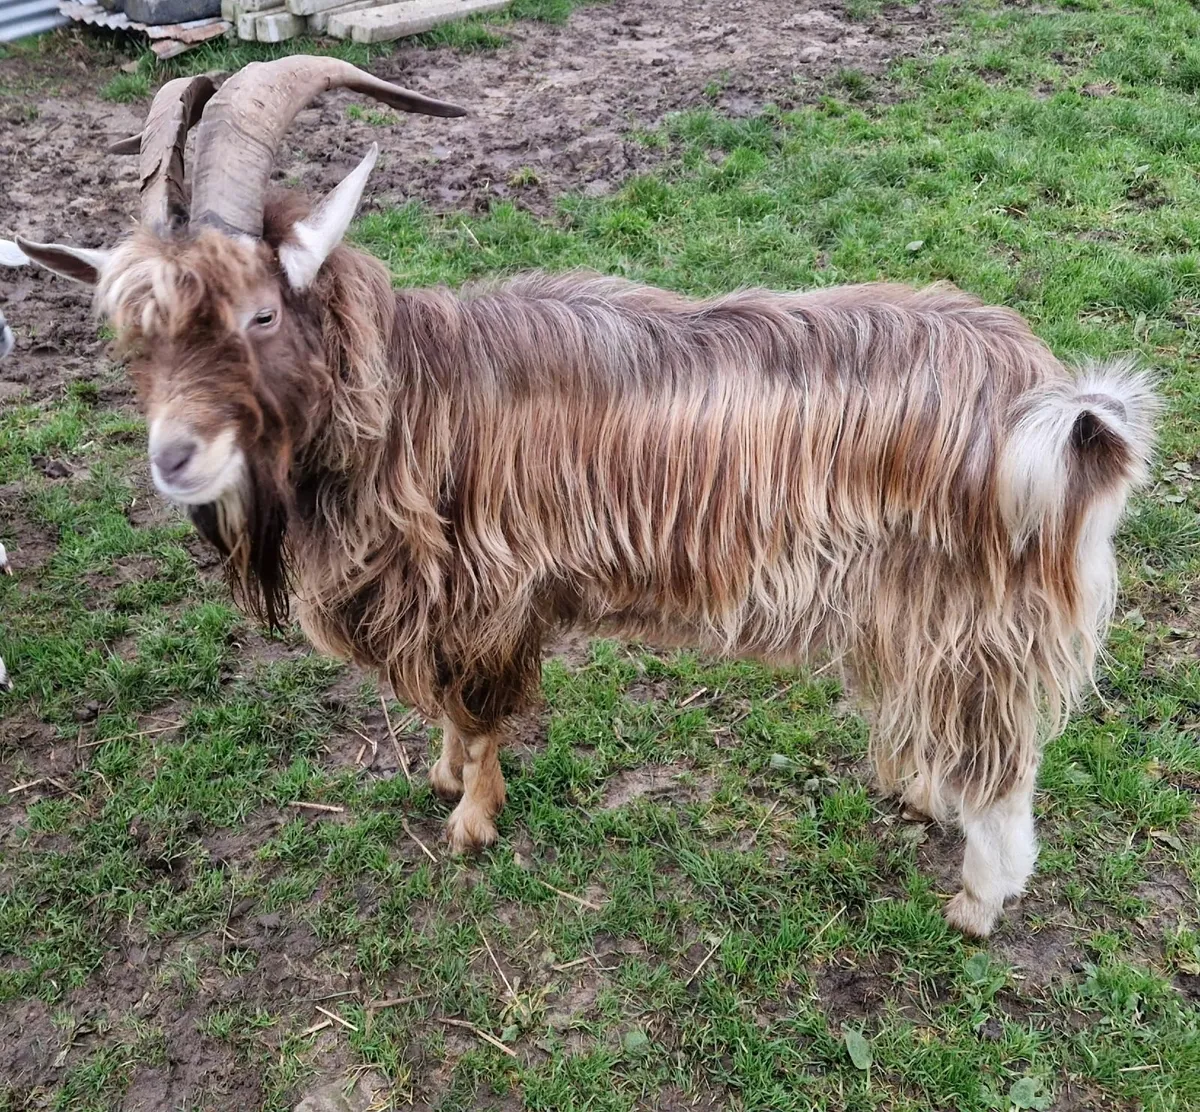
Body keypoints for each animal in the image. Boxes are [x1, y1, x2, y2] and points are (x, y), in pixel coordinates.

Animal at [9, 59, 1158, 936]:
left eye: (258, 313)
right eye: (136, 336)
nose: (175, 458)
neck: (410, 393)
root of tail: (1065, 409)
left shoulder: (487, 596)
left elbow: (479, 713)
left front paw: (470, 821)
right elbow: (447, 709)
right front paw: (440, 775)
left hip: (979, 613)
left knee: (1006, 766)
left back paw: (979, 901)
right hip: (910, 608)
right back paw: (916, 787)